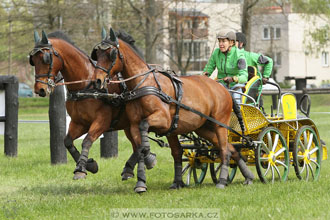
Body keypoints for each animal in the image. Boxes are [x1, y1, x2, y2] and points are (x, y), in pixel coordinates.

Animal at [29, 29, 156, 180]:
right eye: (33, 60)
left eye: (46, 58)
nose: (40, 89)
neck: (85, 84)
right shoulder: (79, 123)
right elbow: (67, 141)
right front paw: (89, 164)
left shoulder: (102, 122)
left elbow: (87, 140)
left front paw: (81, 168)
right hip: (128, 125)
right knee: (137, 145)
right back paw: (129, 169)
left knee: (139, 145)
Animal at [93, 27, 255, 192]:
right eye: (96, 54)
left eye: (110, 54)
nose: (97, 81)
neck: (144, 84)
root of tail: (223, 88)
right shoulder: (135, 126)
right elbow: (144, 150)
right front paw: (143, 182)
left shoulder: (162, 120)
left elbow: (144, 132)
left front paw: (148, 158)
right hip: (204, 128)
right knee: (232, 149)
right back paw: (248, 177)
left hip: (220, 125)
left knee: (224, 150)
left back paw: (222, 180)